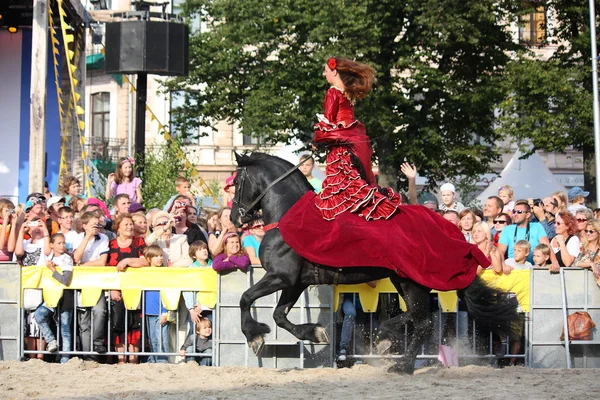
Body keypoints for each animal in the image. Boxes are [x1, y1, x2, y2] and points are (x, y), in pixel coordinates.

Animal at [230, 152, 516, 374]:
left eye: (236, 182)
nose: (235, 218)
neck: (287, 218)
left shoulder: (281, 276)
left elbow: (245, 298)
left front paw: (254, 336)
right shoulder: (295, 282)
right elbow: (279, 315)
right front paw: (315, 333)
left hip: (411, 282)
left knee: (422, 322)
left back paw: (399, 361)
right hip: (403, 281)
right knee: (417, 318)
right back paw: (389, 344)